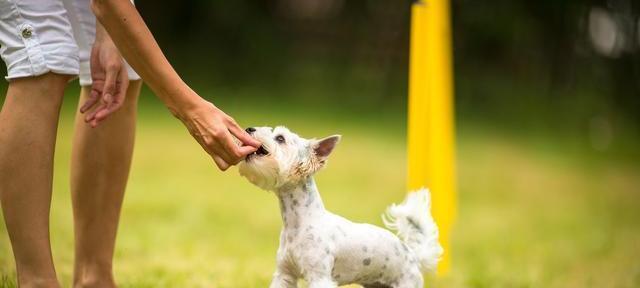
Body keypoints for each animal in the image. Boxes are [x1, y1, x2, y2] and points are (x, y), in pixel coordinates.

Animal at [238, 126, 442, 288]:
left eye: (280, 138)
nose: (249, 128)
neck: (298, 224)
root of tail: (413, 254)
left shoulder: (319, 277)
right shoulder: (285, 274)